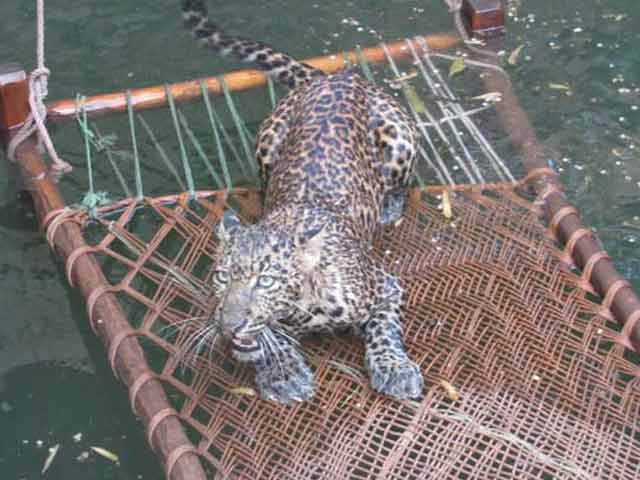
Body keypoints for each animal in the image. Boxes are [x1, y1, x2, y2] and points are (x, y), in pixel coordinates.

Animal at [180, 0, 423, 404]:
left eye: (266, 281)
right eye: (222, 276)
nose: (230, 326)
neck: (303, 306)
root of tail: (331, 78)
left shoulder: (385, 287)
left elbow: (383, 329)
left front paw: (395, 369)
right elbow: (269, 339)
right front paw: (283, 373)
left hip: (399, 136)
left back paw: (389, 207)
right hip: (267, 140)